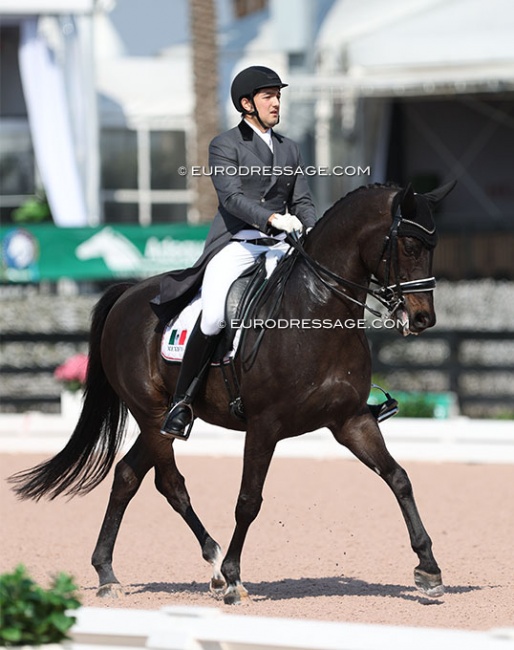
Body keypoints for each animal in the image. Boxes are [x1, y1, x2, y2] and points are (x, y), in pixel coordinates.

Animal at [10, 181, 454, 604]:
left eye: (434, 247)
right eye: (410, 245)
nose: (422, 319)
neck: (317, 310)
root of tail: (128, 294)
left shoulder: (351, 421)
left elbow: (399, 478)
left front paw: (429, 569)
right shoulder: (264, 425)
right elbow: (248, 500)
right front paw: (235, 578)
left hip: (155, 421)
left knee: (127, 476)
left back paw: (108, 573)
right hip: (152, 414)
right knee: (171, 484)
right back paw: (214, 564)